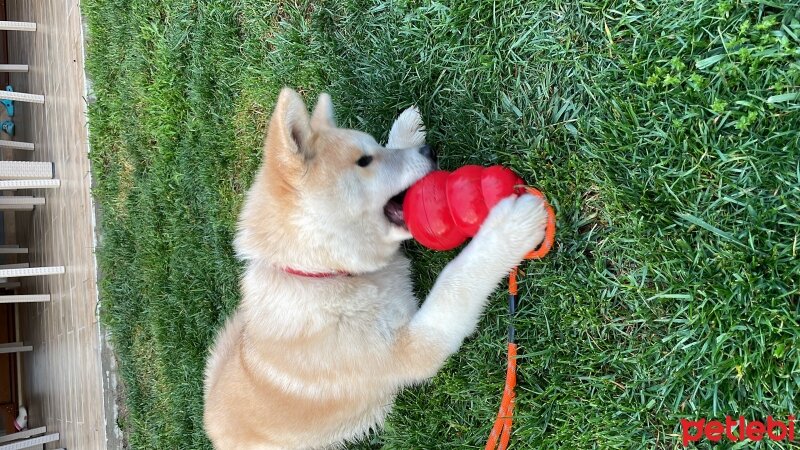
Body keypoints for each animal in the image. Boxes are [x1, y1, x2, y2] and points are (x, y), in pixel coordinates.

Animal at [203, 89, 548, 450]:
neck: (323, 273)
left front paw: (406, 130)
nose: (430, 151)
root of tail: (210, 419)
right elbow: (455, 280)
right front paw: (508, 228)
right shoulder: (414, 348)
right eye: (364, 161)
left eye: (375, 147)